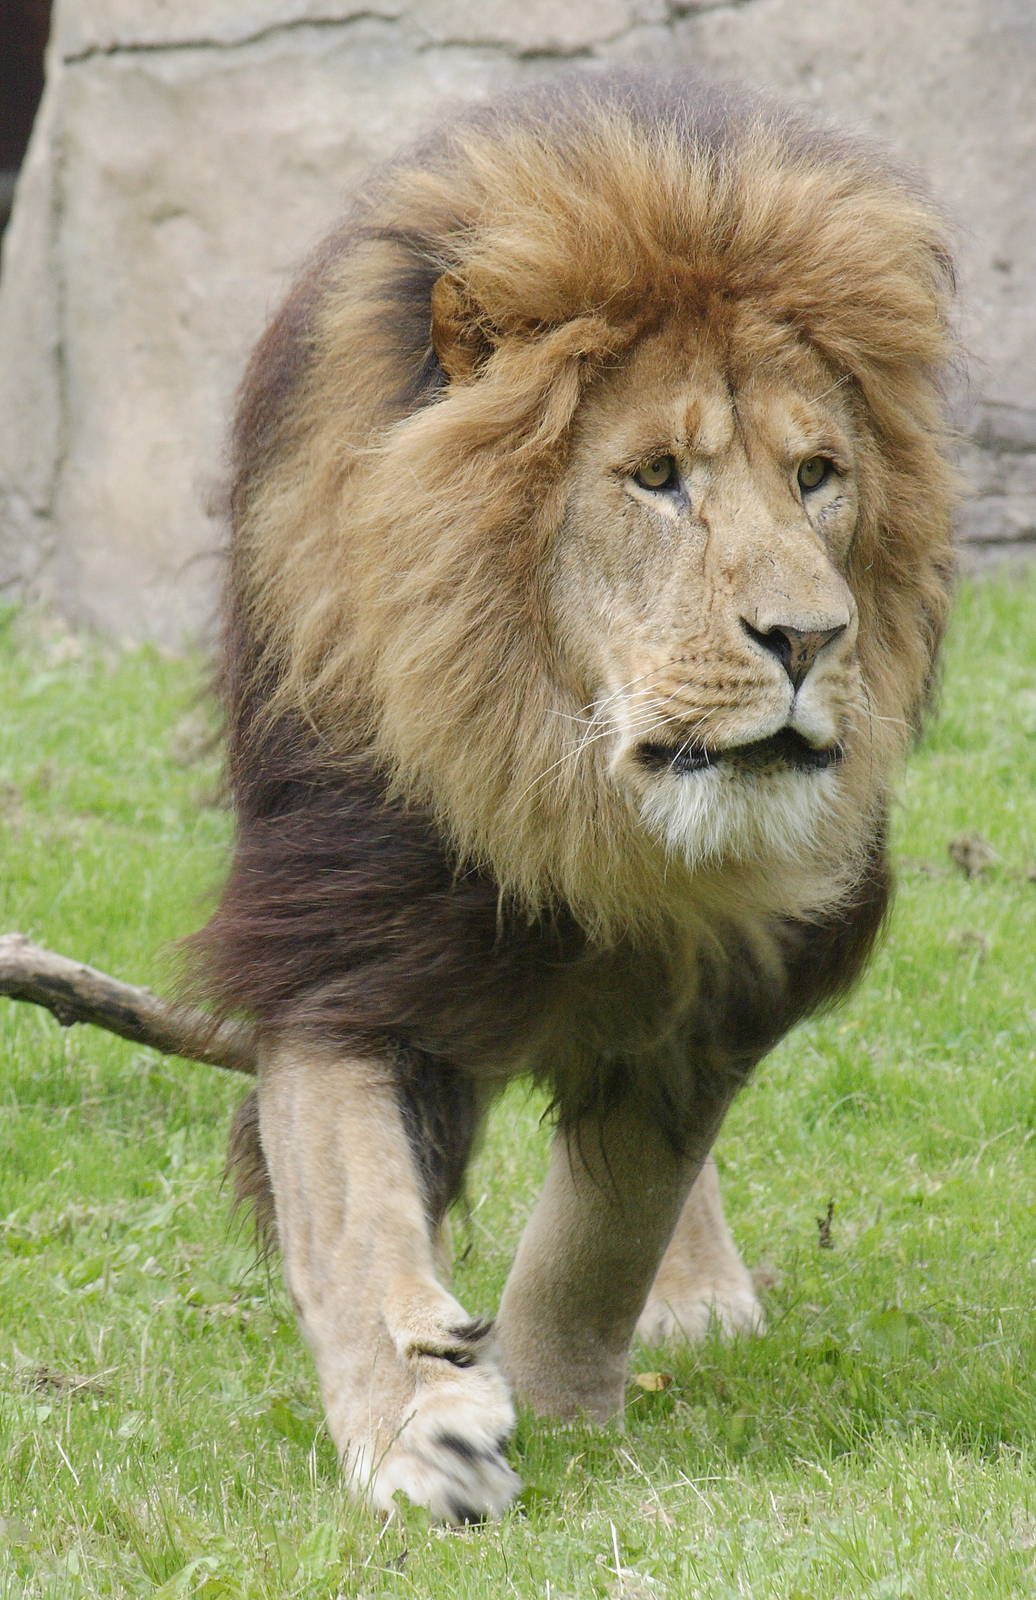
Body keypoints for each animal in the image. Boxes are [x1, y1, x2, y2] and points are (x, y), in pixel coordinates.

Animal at [191, 72, 956, 1522]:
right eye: (656, 477)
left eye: (815, 475)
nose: (809, 638)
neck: (567, 791)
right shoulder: (340, 932)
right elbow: (349, 1196)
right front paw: (418, 1423)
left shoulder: (729, 967)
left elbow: (616, 1215)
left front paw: (558, 1393)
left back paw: (698, 1296)